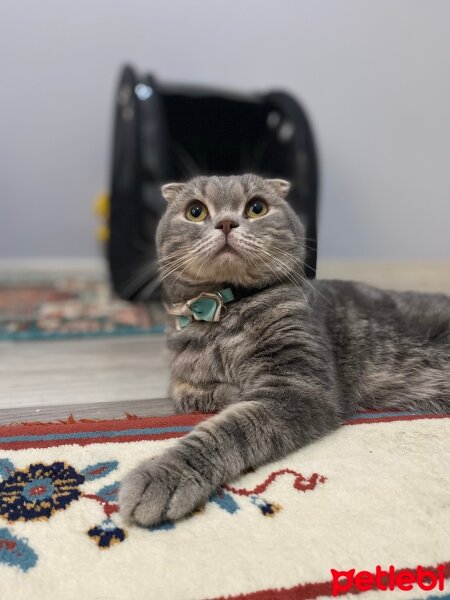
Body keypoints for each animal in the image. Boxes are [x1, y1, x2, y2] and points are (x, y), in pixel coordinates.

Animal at [118, 172, 450, 524]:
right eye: (196, 211)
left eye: (256, 208)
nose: (226, 223)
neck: (223, 307)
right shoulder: (185, 375)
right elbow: (183, 392)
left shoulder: (299, 384)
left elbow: (228, 427)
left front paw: (163, 474)